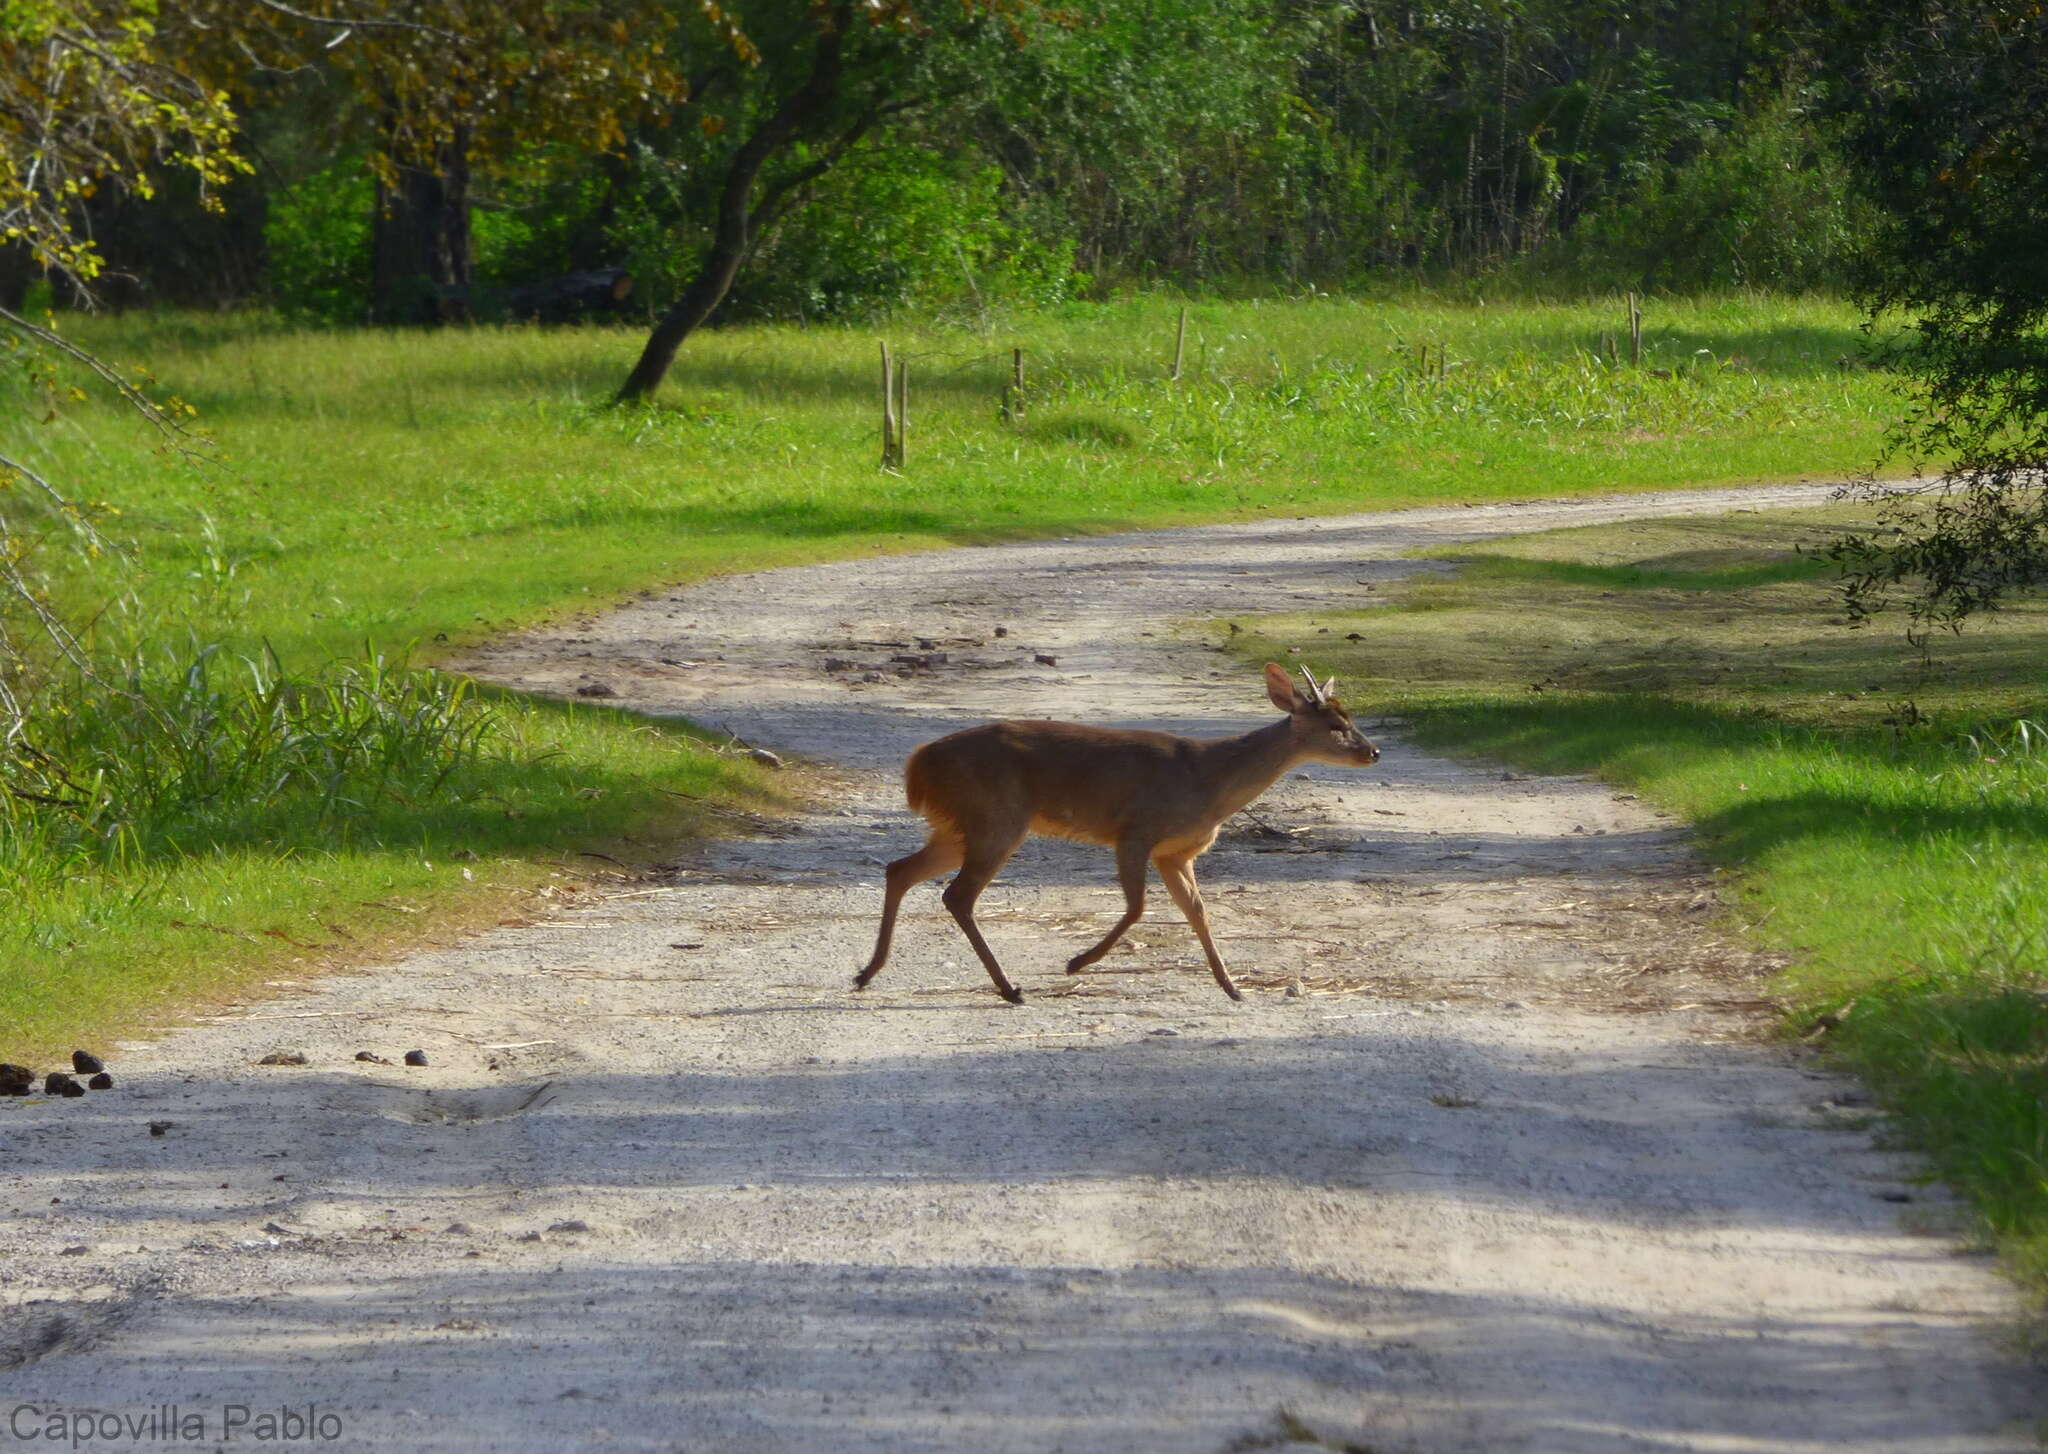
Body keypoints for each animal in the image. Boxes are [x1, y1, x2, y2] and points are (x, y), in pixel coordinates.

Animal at [856, 667, 1384, 1007]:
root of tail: (920, 763)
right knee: (957, 895)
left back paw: (868, 972)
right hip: (997, 816)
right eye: (1336, 726)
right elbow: (1138, 907)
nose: (1374, 752)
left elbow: (1198, 912)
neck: (1208, 780)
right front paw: (1076, 963)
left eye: (1352, 720)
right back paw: (1009, 989)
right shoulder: (1136, 831)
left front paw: (1232, 986)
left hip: (961, 826)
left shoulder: (1177, 852)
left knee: (900, 870)